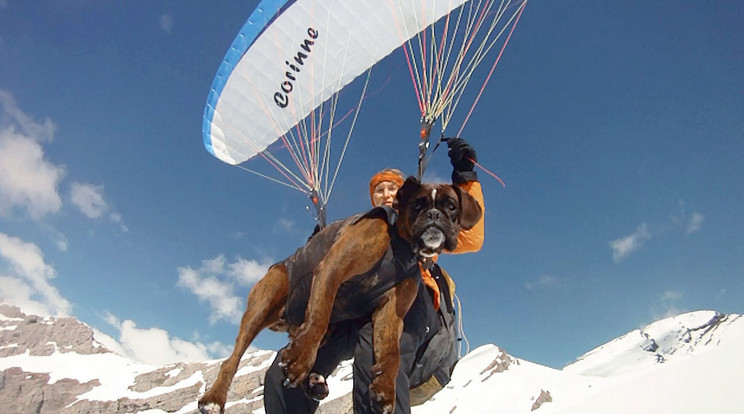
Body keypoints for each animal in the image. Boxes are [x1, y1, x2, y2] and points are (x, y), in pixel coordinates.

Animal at [198, 178, 482, 414]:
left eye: (451, 206)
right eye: (417, 204)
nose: (434, 215)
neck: (400, 246)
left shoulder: (392, 313)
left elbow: (391, 353)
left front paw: (385, 387)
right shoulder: (332, 268)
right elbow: (319, 315)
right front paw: (300, 359)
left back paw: (315, 380)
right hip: (264, 301)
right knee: (232, 360)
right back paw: (214, 399)